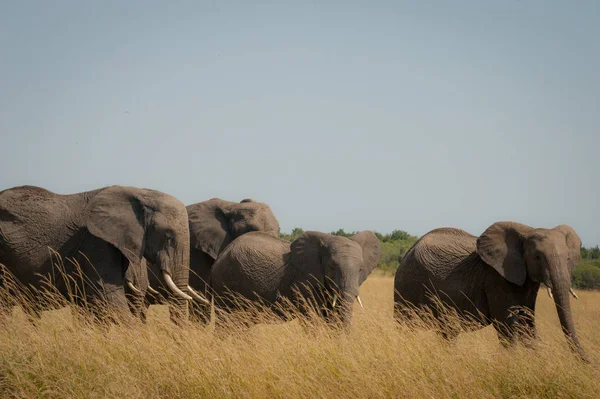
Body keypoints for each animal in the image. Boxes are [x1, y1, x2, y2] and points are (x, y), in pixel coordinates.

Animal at [209, 231, 382, 328]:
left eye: (360, 270)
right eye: (332, 267)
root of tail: (220, 256)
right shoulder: (304, 280)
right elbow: (313, 318)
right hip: (225, 282)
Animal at [394, 222, 584, 362]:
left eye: (568, 258)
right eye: (537, 257)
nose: (586, 363)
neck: (526, 231)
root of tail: (409, 250)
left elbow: (527, 322)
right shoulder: (496, 278)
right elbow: (506, 325)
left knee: (448, 331)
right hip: (407, 285)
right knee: (407, 326)